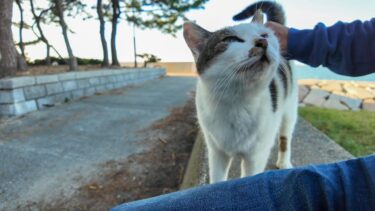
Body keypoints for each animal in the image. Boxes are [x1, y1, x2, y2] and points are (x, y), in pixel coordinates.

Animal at [184, 1, 298, 183]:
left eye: (265, 35)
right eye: (231, 39)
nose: (262, 41)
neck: (237, 102)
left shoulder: (256, 156)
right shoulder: (216, 152)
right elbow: (217, 179)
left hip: (289, 111)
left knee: (285, 137)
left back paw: (284, 162)